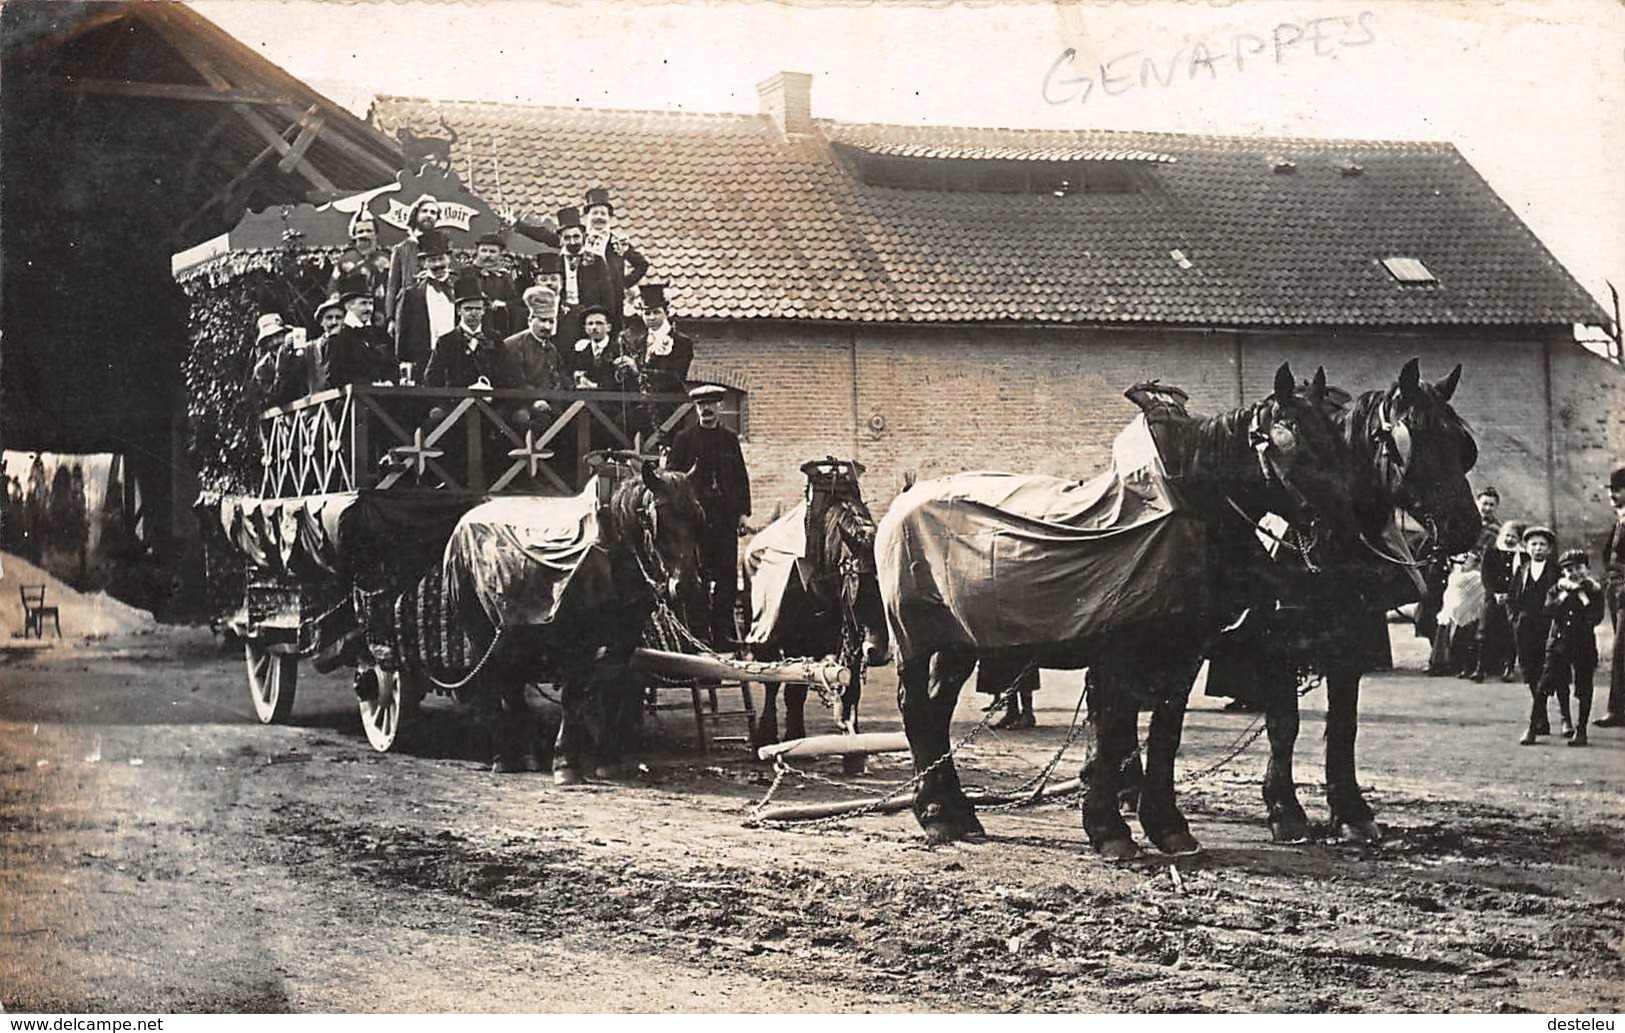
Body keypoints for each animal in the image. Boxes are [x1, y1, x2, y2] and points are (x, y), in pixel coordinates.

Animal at [744, 454, 890, 753]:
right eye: (859, 582)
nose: (878, 651)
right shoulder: (796, 643)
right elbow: (793, 689)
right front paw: (793, 736)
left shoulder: (853, 641)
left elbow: (851, 690)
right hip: (766, 638)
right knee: (770, 682)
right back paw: (765, 734)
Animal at [877, 367, 1358, 857]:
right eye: (1294, 441)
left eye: (1336, 438)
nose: (1347, 525)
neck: (1186, 503)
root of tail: (907, 497)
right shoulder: (1118, 654)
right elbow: (1111, 732)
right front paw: (1110, 830)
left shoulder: (1184, 654)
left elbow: (1164, 733)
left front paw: (1168, 827)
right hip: (915, 638)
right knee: (916, 709)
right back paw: (936, 815)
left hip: (958, 644)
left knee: (937, 710)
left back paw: (958, 814)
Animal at [1202, 358, 1482, 844]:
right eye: (1412, 443)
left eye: (1463, 448)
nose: (1465, 527)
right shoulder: (1277, 645)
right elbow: (1284, 725)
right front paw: (1285, 809)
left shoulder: (1350, 643)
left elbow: (1343, 725)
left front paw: (1350, 809)